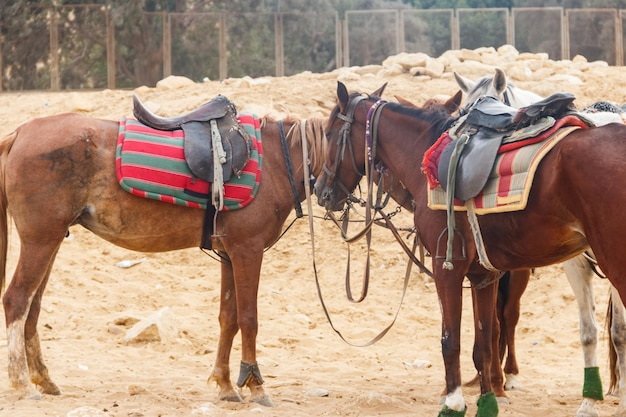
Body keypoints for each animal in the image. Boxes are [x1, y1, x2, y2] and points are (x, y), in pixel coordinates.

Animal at [2, 105, 326, 406]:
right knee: (17, 299)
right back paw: (22, 384)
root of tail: (19, 134)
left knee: (33, 305)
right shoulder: (248, 249)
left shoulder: (229, 253)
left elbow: (228, 317)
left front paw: (225, 385)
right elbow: (248, 318)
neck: (274, 161)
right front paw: (255, 386)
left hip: (52, 240)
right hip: (40, 241)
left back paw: (44, 379)